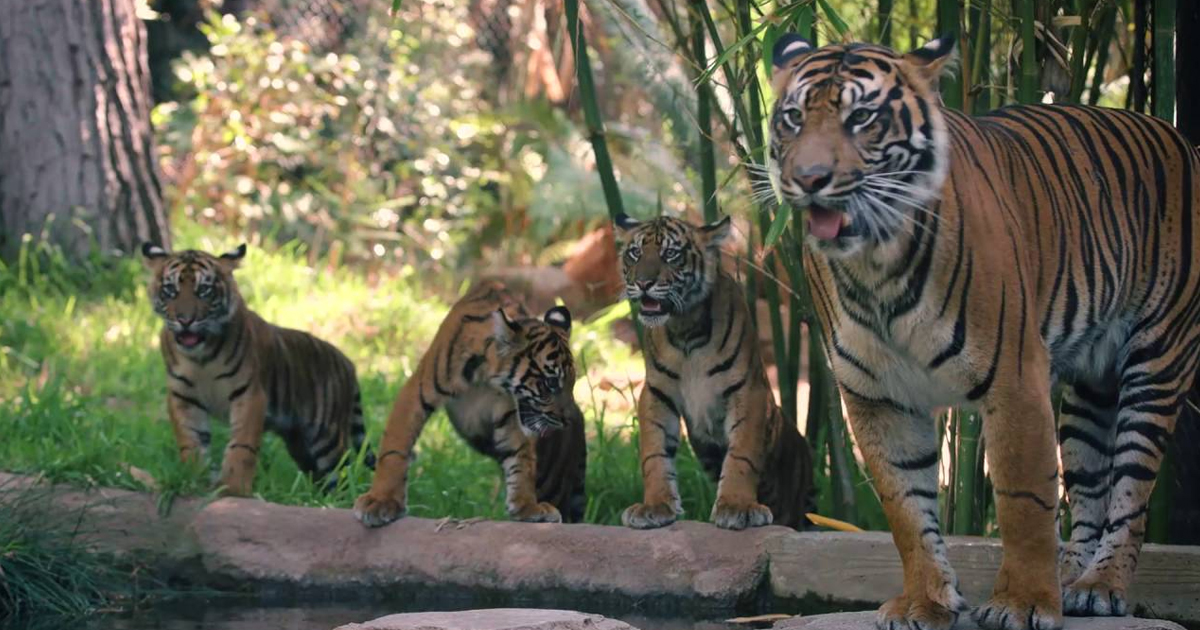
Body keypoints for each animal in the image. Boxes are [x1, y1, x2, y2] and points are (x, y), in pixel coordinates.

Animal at [139, 243, 367, 494]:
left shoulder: (249, 394)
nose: (185, 320)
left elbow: (242, 445)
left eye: (204, 290)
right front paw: (194, 479)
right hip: (300, 444)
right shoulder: (183, 397)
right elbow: (192, 442)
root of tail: (349, 363)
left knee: (342, 473)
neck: (200, 357)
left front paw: (232, 487)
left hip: (327, 439)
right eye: (170, 289)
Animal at [350, 279, 585, 525]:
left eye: (572, 383)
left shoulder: (509, 412)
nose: (567, 419)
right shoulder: (416, 393)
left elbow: (521, 457)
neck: (486, 377)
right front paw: (381, 501)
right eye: (551, 383)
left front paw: (527, 506)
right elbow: (395, 448)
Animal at [614, 213, 820, 528]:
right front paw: (655, 506)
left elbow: (741, 455)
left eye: (670, 254)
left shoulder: (747, 391)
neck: (684, 329)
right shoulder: (656, 393)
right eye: (635, 253)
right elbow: (654, 454)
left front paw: (737, 507)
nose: (643, 283)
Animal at [768, 34, 1200, 628]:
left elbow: (1024, 502)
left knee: (1132, 490)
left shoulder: (1015, 382)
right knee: (1091, 484)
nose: (810, 180)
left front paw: (1022, 603)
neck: (874, 267)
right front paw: (925, 601)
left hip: (1158, 359)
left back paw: (1102, 584)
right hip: (1090, 389)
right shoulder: (877, 397)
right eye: (792, 118)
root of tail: (1177, 135)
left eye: (862, 118)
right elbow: (906, 507)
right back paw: (1074, 581)